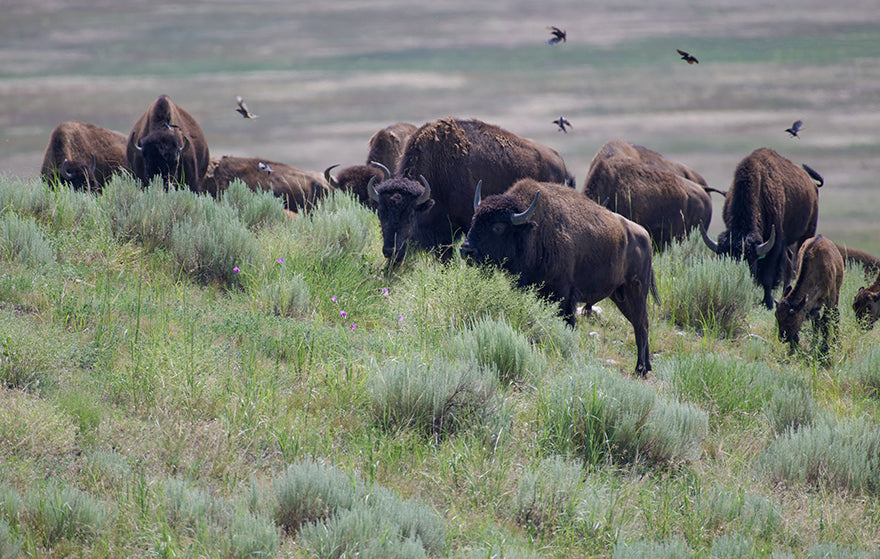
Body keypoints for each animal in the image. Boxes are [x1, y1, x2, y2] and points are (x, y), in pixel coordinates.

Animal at [460, 179, 660, 378]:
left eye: (498, 227)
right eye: (474, 220)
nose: (465, 249)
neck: (534, 233)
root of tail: (644, 235)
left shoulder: (564, 295)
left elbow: (566, 323)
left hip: (636, 291)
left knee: (641, 325)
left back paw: (640, 369)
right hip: (620, 296)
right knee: (639, 324)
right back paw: (647, 366)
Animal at [696, 149, 820, 308]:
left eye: (749, 260)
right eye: (725, 259)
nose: (737, 279)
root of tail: (812, 184)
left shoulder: (775, 242)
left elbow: (768, 274)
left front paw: (768, 302)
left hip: (808, 231)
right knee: (788, 261)